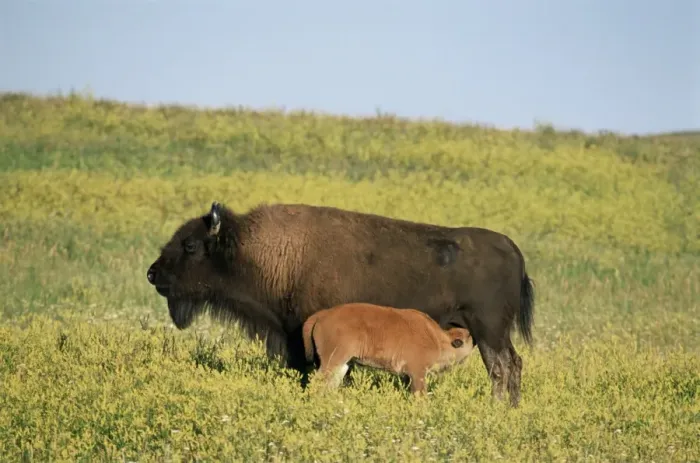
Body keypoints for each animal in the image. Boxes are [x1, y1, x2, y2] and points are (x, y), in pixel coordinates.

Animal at [302, 302, 476, 395]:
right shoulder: (418, 373)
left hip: (342, 363)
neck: (438, 339)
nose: (475, 337)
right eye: (466, 338)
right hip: (331, 361)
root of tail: (321, 315)